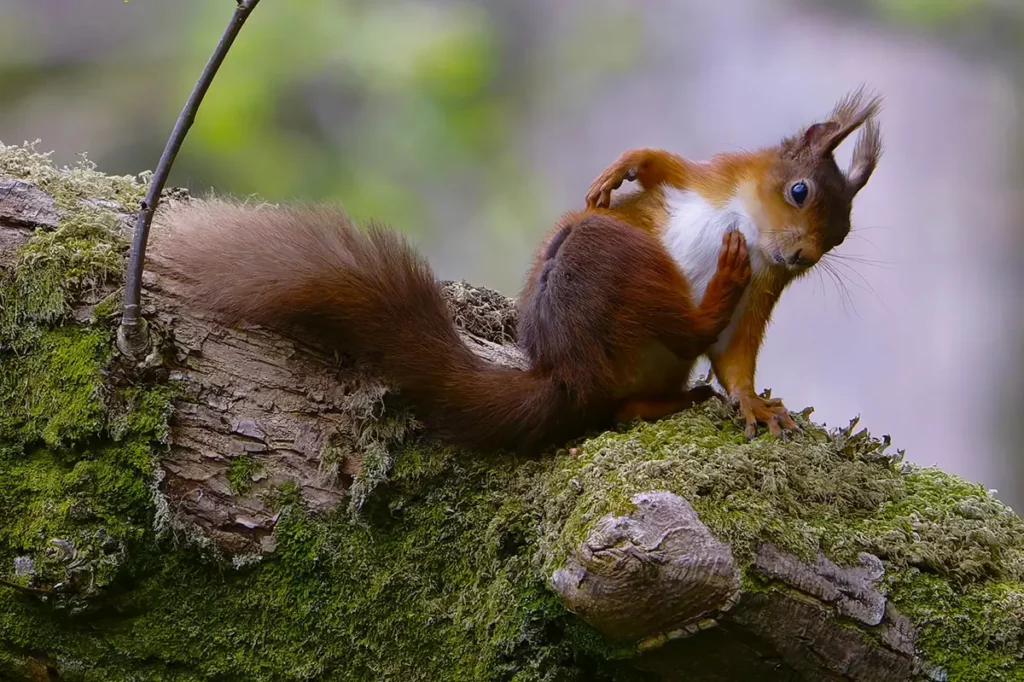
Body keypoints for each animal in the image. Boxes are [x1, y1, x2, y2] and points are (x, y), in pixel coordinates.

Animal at [581, 88, 884, 439]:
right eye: (799, 190)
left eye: (840, 237)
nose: (804, 257)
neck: (749, 226)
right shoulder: (706, 179)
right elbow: (660, 165)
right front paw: (621, 168)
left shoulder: (761, 286)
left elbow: (735, 353)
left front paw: (753, 403)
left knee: (623, 407)